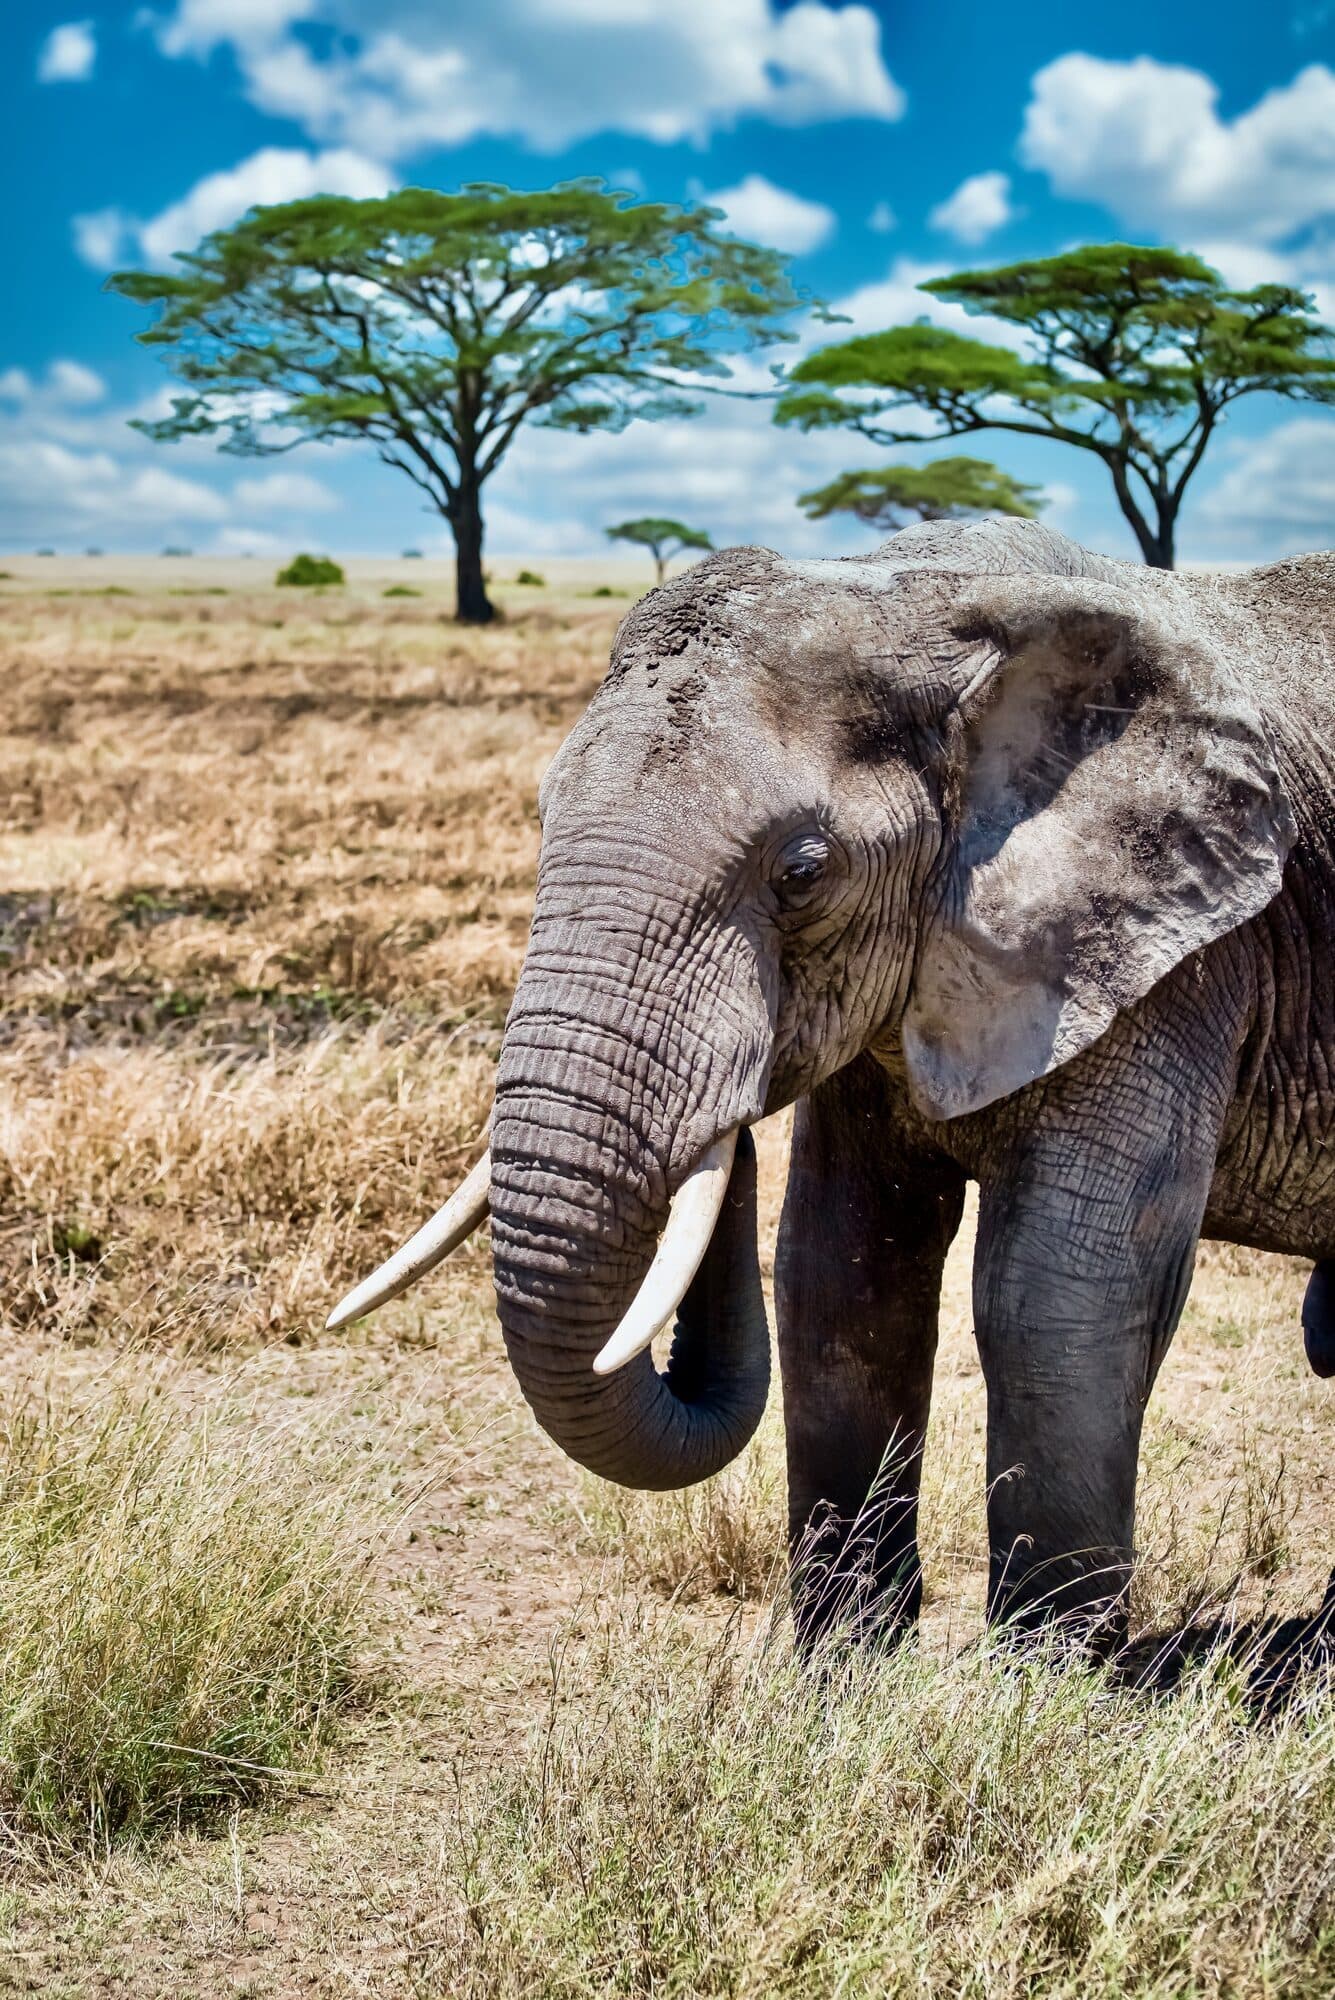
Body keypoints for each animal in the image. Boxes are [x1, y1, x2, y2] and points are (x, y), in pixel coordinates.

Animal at [329, 516, 1335, 1652]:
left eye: (802, 873)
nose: (722, 1120)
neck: (928, 596)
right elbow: (842, 1271)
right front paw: (842, 1669)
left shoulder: (1183, 956)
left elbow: (1055, 1293)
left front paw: (1045, 1681)